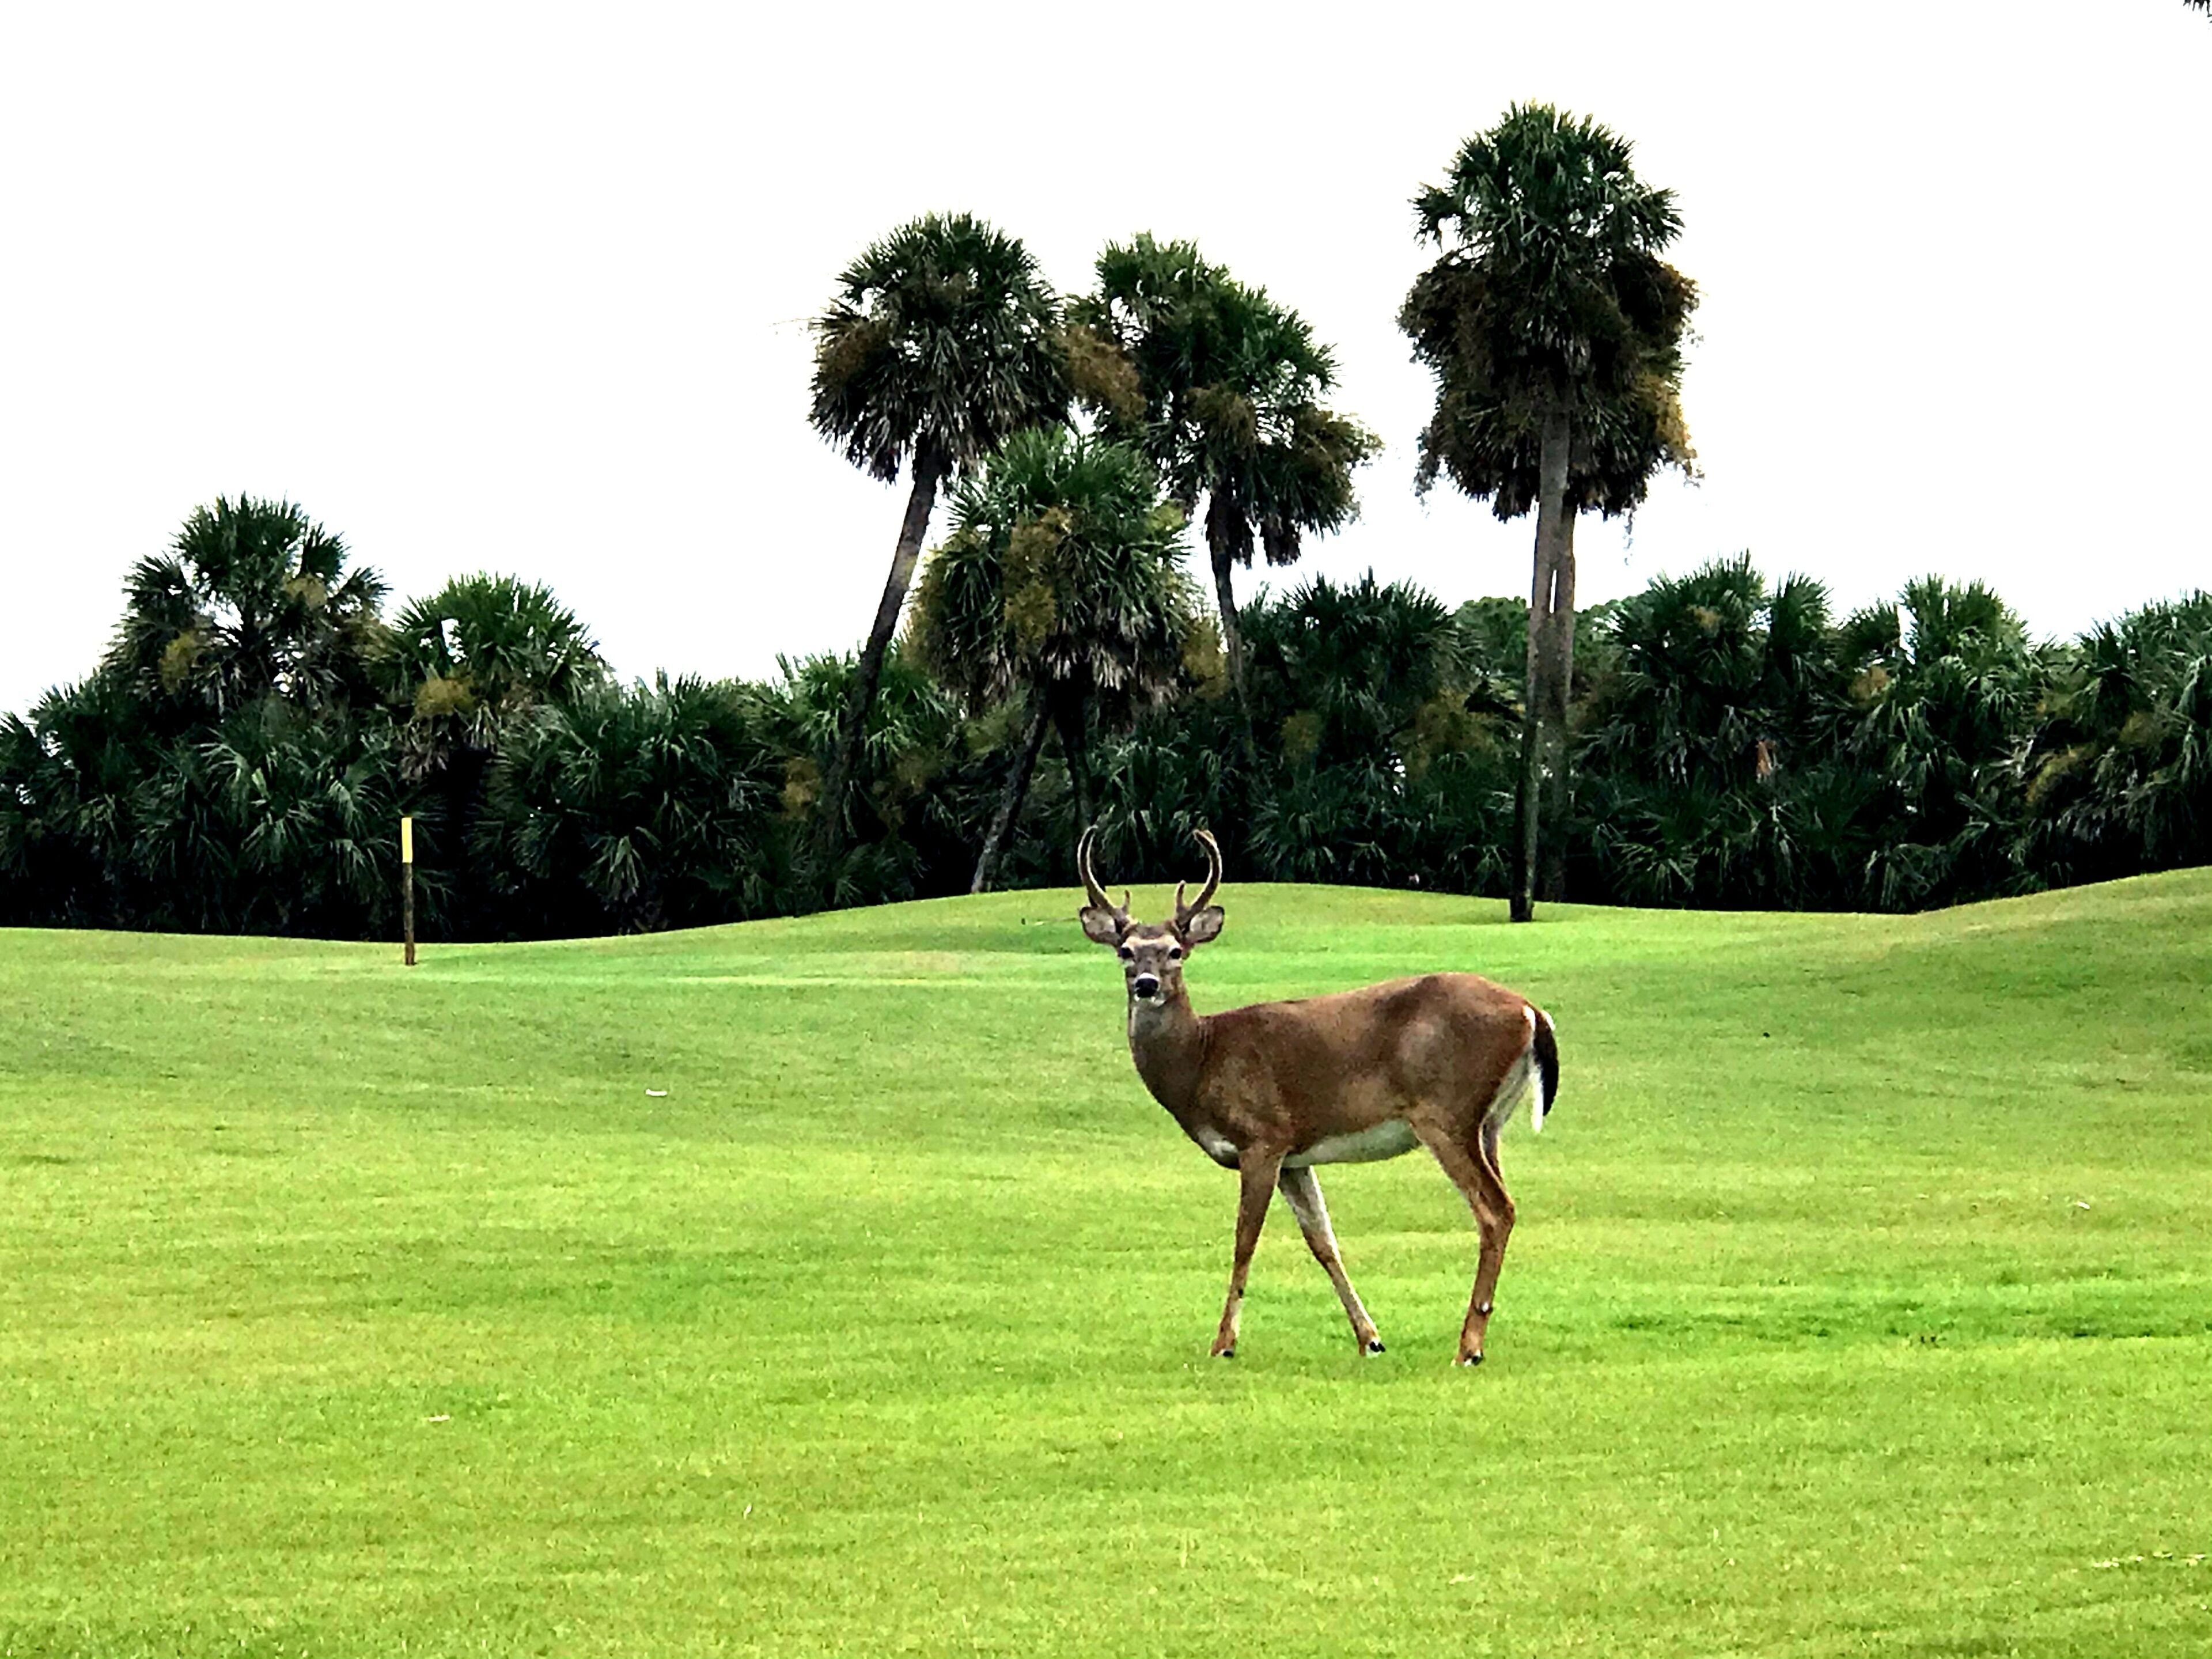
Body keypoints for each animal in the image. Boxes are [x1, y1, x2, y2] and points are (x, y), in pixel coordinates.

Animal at [1077, 826, 1560, 1366]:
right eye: (1125, 951)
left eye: (1175, 951)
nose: (1146, 984)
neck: (1202, 1060)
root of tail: (1532, 1012)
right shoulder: (1295, 1156)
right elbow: (1324, 1242)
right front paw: (1370, 1338)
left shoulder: (1262, 1137)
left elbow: (1244, 1240)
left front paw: (1223, 1343)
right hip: (1490, 1122)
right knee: (1501, 1203)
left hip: (1446, 1111)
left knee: (1495, 1211)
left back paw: (1468, 1347)